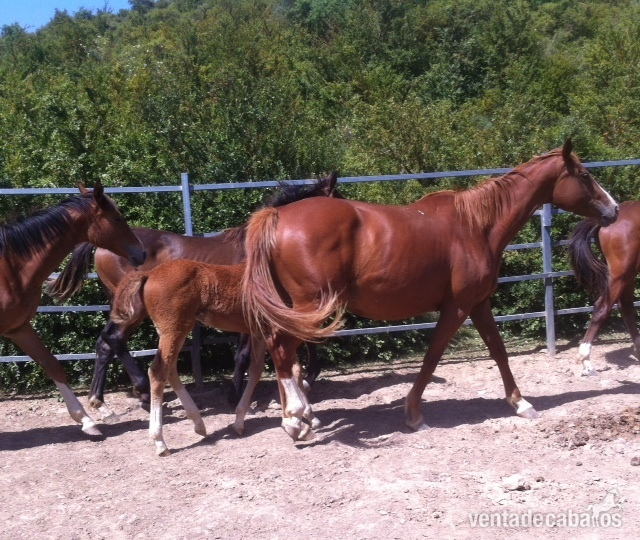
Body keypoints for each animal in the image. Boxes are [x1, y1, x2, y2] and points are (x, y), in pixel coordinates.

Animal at [0, 182, 145, 437]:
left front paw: (86, 421)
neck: (10, 269)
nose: (141, 252)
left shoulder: (18, 328)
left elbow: (53, 365)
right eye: (117, 218)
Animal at [46, 174, 340, 418]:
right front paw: (237, 396)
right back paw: (142, 393)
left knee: (105, 343)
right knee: (114, 340)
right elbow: (246, 354)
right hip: (134, 310)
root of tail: (100, 246)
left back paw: (100, 400)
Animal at [108, 259, 312, 456]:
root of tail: (149, 273)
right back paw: (160, 442)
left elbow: (263, 370)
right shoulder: (277, 331)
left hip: (172, 331)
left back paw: (198, 424)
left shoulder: (259, 332)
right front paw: (297, 420)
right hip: (174, 330)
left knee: (170, 369)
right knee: (158, 371)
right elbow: (286, 368)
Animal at [241, 139, 619, 441]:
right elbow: (433, 355)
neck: (477, 226)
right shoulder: (457, 307)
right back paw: (295, 421)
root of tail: (277, 217)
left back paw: (299, 417)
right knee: (281, 349)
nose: (613, 209)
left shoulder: (479, 305)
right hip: (309, 308)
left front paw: (520, 402)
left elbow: (498, 351)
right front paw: (413, 414)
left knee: (280, 352)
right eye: (584, 175)